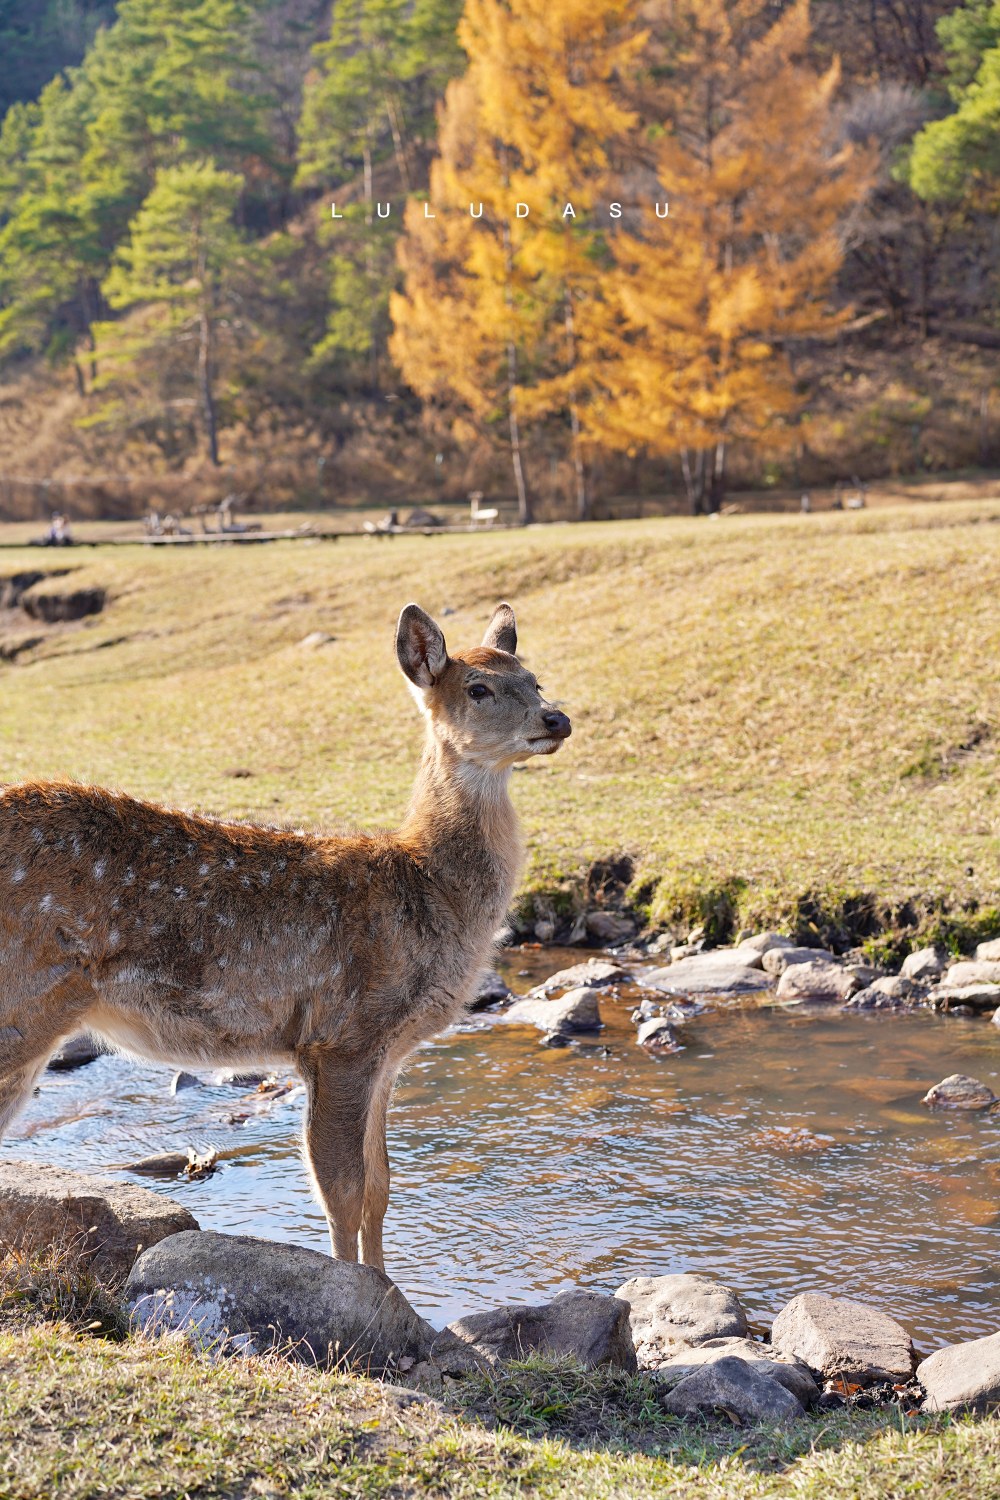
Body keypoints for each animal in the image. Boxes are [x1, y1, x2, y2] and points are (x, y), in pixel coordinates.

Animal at [0, 603, 569, 1272]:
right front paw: (358, 1289)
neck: (426, 888)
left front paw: (387, 1285)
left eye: (533, 679)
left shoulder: (388, 1053)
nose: (557, 717)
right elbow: (341, 1190)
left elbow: (380, 1186)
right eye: (478, 689)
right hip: (26, 1001)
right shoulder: (343, 1034)